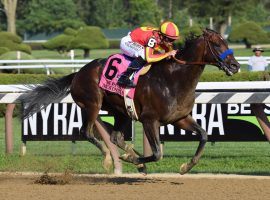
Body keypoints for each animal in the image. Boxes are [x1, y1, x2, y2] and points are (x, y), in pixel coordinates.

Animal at [21, 28, 240, 174]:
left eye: (227, 43)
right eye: (218, 44)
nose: (235, 65)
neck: (174, 79)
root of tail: (78, 73)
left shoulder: (180, 118)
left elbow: (203, 135)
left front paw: (186, 166)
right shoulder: (150, 120)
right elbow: (157, 153)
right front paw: (135, 159)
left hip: (121, 111)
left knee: (116, 137)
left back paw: (131, 157)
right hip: (92, 104)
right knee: (87, 132)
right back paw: (110, 158)